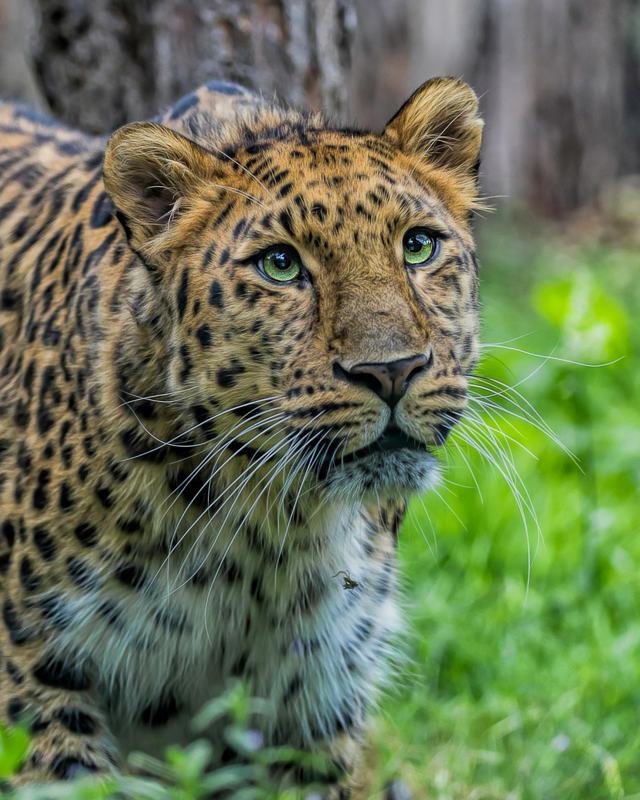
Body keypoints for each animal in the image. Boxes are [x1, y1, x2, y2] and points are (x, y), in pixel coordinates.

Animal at [0, 76, 483, 796]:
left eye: (419, 246)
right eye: (280, 264)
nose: (392, 371)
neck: (268, 535)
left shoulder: (312, 704)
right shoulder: (36, 675)